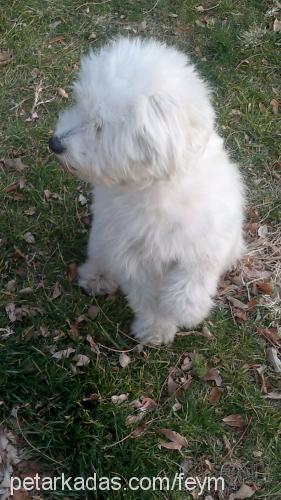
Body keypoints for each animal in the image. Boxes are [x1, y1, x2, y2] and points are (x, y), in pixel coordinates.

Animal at [49, 38, 244, 344]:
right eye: (80, 105)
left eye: (100, 126)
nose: (55, 143)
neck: (155, 188)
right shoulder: (132, 258)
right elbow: (147, 298)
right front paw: (156, 329)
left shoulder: (210, 237)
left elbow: (196, 272)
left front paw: (187, 309)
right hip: (102, 240)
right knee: (99, 257)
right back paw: (96, 277)